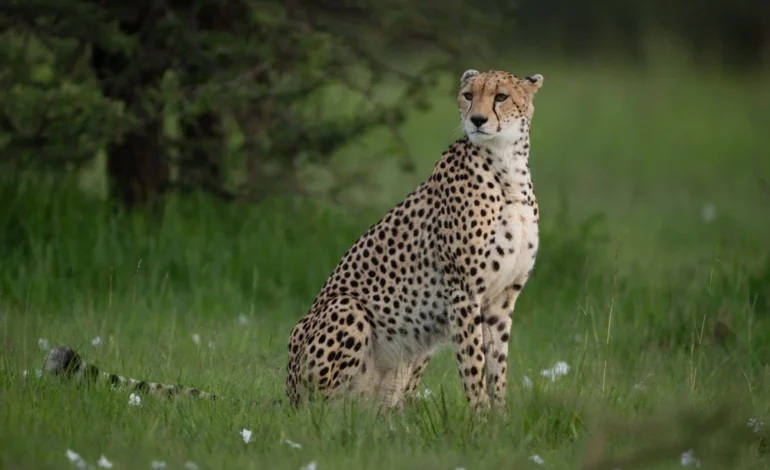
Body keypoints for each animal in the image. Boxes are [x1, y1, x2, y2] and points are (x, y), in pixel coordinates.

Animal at [42, 68, 544, 413]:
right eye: (468, 94)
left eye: (501, 96)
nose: (476, 119)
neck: (506, 169)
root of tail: (286, 395)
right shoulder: (464, 292)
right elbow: (474, 368)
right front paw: (478, 424)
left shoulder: (501, 301)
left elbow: (496, 368)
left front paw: (497, 426)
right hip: (347, 311)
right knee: (320, 415)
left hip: (413, 348)